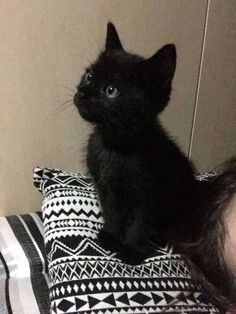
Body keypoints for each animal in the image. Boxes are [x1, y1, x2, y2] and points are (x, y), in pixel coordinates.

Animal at [73, 23, 201, 264]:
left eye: (111, 90)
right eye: (89, 76)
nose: (82, 94)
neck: (115, 146)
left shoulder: (149, 194)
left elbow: (141, 224)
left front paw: (131, 250)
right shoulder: (104, 187)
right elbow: (111, 212)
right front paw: (112, 236)